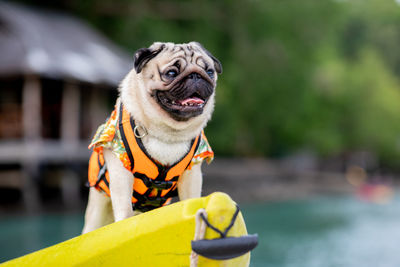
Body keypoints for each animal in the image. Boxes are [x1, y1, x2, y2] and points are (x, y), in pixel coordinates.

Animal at [82, 42, 222, 234]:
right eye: (171, 73)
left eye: (209, 71)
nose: (196, 75)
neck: (168, 133)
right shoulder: (120, 171)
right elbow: (124, 207)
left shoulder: (192, 174)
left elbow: (191, 198)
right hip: (97, 212)